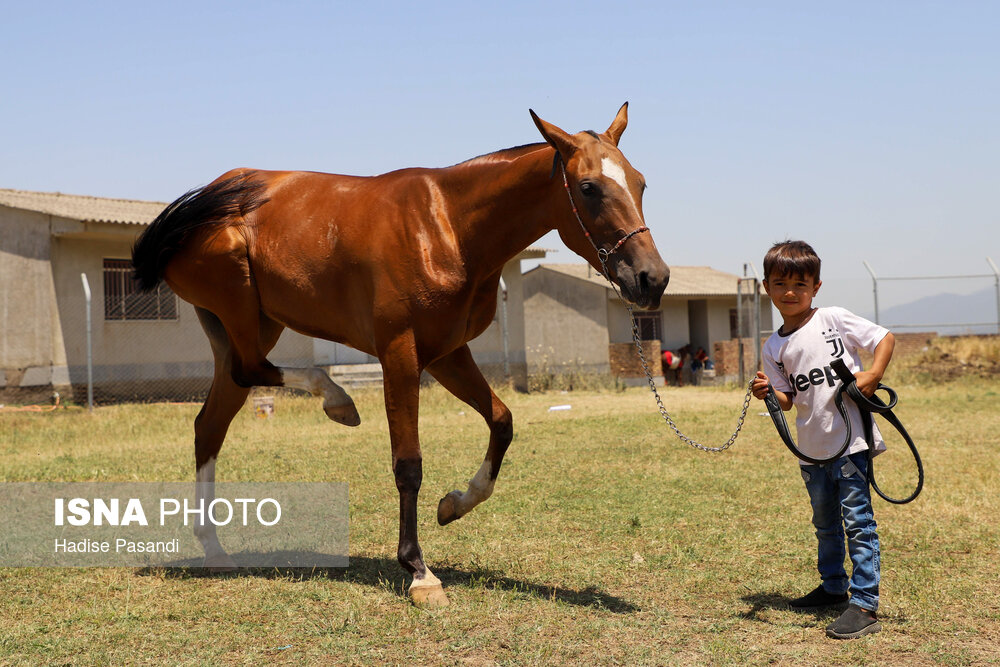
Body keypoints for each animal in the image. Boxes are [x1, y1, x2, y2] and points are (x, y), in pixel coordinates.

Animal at [129, 103, 668, 604]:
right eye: (589, 188)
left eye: (640, 183)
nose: (652, 279)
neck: (448, 225)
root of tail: (206, 202)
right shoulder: (399, 355)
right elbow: (408, 464)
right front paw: (418, 570)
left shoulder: (447, 354)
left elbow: (502, 421)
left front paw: (454, 504)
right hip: (241, 311)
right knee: (249, 374)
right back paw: (337, 401)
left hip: (250, 325)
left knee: (211, 423)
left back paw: (214, 547)